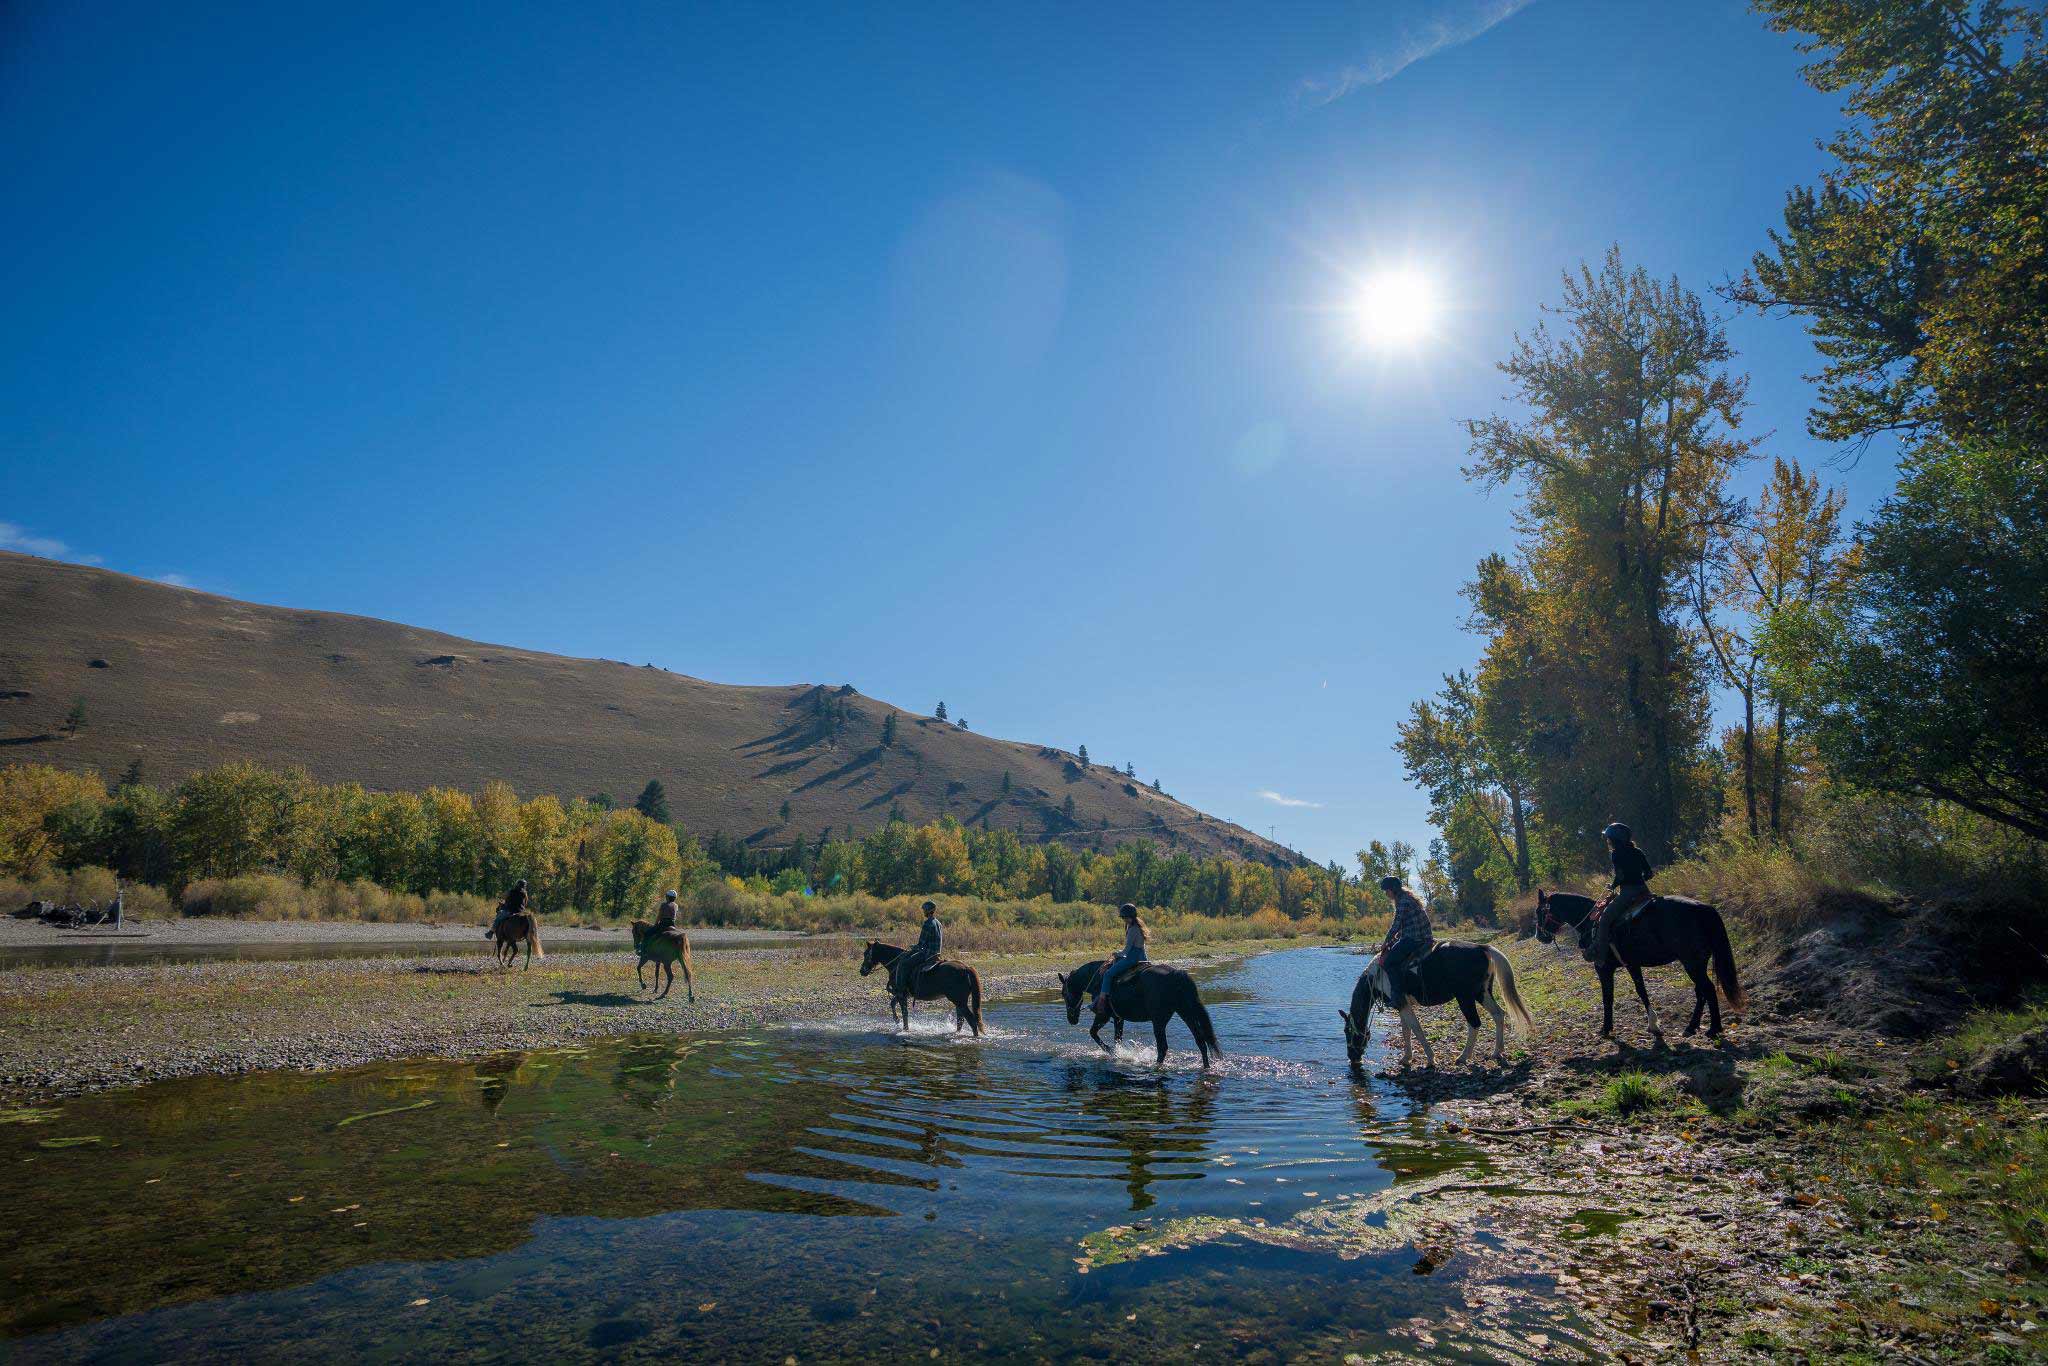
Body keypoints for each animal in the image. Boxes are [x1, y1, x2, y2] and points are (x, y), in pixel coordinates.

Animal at [1056, 962, 1212, 1064]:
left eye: (1063, 993)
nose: (1071, 1019)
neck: (1097, 980)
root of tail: (1176, 974)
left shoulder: (1103, 1015)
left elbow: (1093, 1033)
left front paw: (1112, 1052)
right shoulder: (1118, 1018)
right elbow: (1117, 1039)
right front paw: (1119, 1053)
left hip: (1159, 1021)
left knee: (1162, 1048)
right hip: (1186, 1014)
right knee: (1201, 1041)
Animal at [1335, 946, 1531, 1073]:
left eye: (1347, 1031)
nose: (1352, 1057)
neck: (1376, 977)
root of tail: (1484, 948)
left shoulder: (1402, 1005)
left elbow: (1416, 1029)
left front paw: (1430, 1060)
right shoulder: (1402, 1005)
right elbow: (1406, 1030)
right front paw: (1406, 1058)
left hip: (1465, 997)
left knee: (1474, 1023)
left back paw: (1463, 1057)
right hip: (1482, 993)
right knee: (1498, 1014)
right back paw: (1497, 1052)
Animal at [1540, 892, 1744, 1040]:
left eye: (1539, 912)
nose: (1539, 936)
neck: (1592, 922)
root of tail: (1704, 908)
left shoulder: (1603, 968)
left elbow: (1608, 997)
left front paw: (1606, 1028)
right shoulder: (1633, 965)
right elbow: (1641, 991)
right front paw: (1653, 1024)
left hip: (1692, 963)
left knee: (1707, 989)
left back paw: (1714, 1029)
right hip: (1696, 963)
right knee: (1700, 991)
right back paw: (1691, 1027)